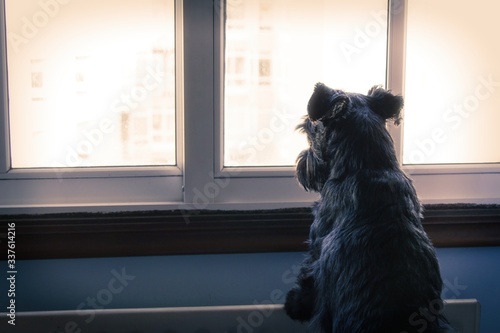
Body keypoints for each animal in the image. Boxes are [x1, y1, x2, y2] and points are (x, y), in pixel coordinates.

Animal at [284, 83, 452, 332]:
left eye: (310, 131)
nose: (301, 164)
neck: (369, 165)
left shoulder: (317, 244)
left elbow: (307, 276)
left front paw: (295, 305)